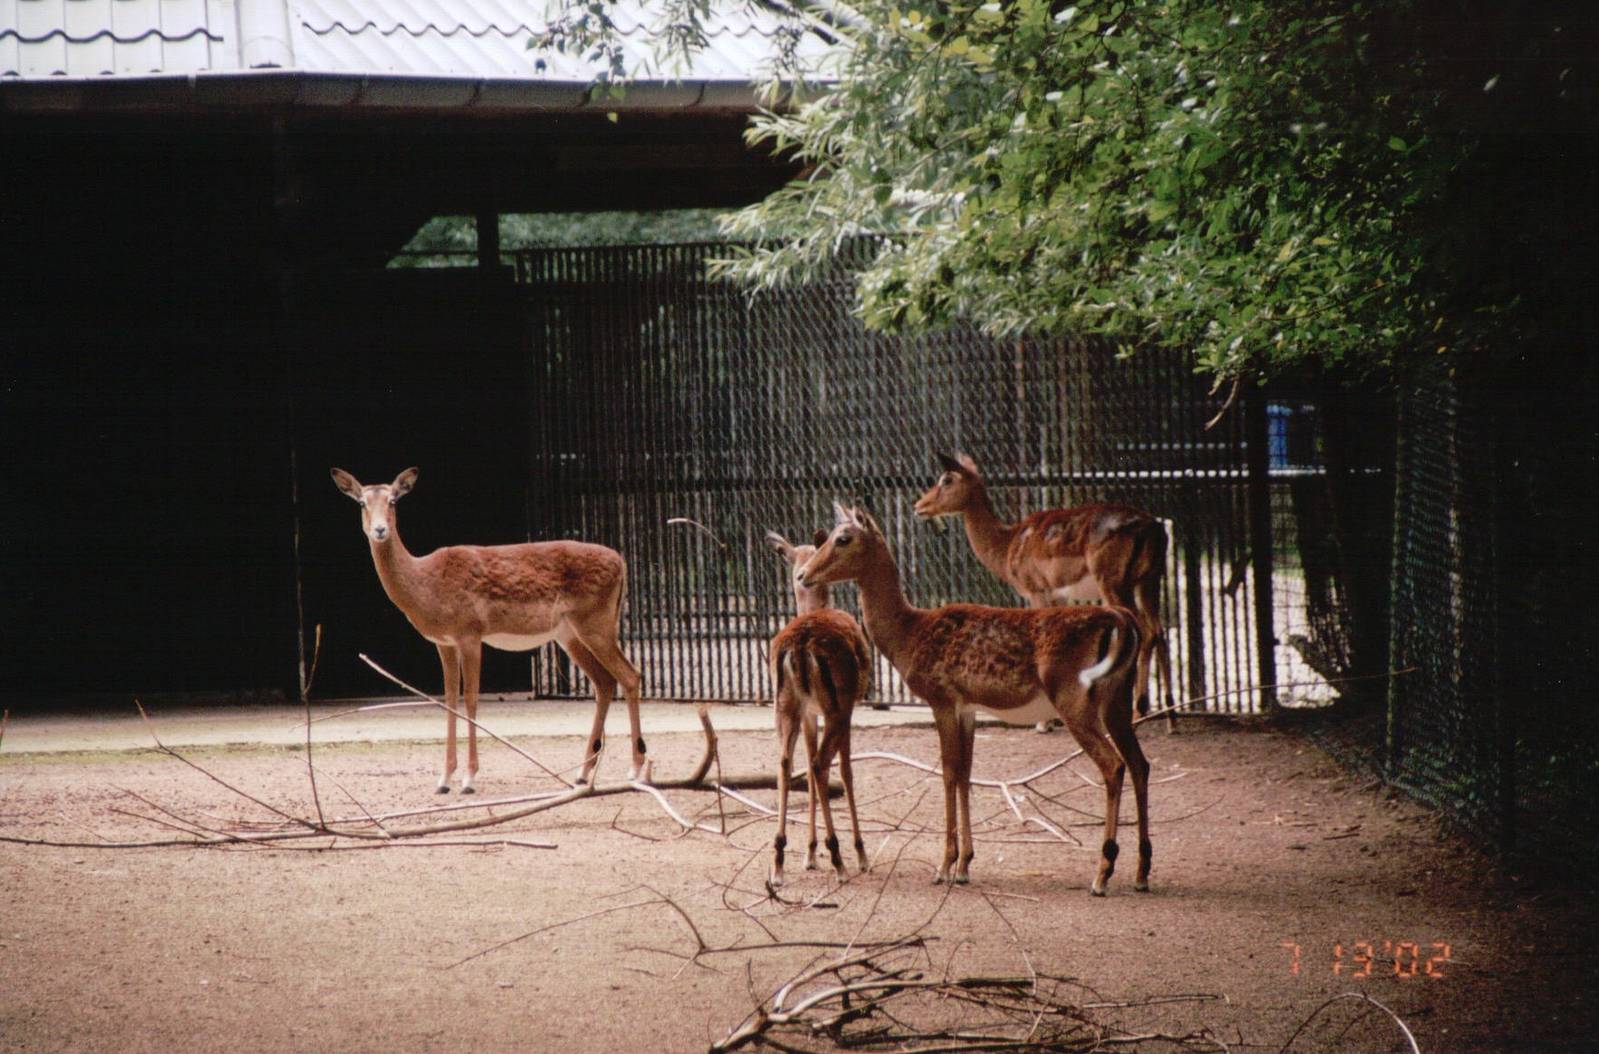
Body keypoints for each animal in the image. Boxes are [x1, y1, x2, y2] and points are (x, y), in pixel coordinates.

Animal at [331, 467, 645, 792]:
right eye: (362, 502)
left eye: (393, 500)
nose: (380, 530)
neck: (427, 583)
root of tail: (621, 562)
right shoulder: (443, 641)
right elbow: (450, 699)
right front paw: (444, 780)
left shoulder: (470, 633)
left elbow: (470, 698)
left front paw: (469, 779)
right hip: (569, 633)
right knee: (604, 682)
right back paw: (582, 774)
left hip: (597, 623)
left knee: (630, 675)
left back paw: (635, 770)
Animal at [764, 530, 871, 886]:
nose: (803, 574)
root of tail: (798, 646)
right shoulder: (847, 709)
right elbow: (847, 770)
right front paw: (861, 856)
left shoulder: (810, 714)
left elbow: (809, 774)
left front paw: (809, 855)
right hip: (835, 708)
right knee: (821, 763)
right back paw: (839, 858)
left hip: (784, 707)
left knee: (786, 764)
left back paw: (779, 862)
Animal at [800, 504, 1150, 892]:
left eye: (843, 538)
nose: (803, 574)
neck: (908, 635)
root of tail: (1123, 623)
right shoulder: (966, 706)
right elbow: (966, 773)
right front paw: (965, 864)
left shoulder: (941, 696)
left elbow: (948, 773)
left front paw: (944, 866)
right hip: (1117, 698)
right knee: (1140, 763)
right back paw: (1141, 873)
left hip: (1074, 697)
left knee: (1113, 764)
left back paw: (1102, 874)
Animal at [915, 453, 1176, 732]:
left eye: (947, 479)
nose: (919, 506)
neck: (1007, 545)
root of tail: (1154, 528)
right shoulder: (1058, 595)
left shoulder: (1035, 590)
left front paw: (1043, 724)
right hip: (1149, 582)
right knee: (1158, 630)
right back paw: (1170, 718)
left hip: (1114, 583)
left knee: (1144, 632)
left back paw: (1138, 713)